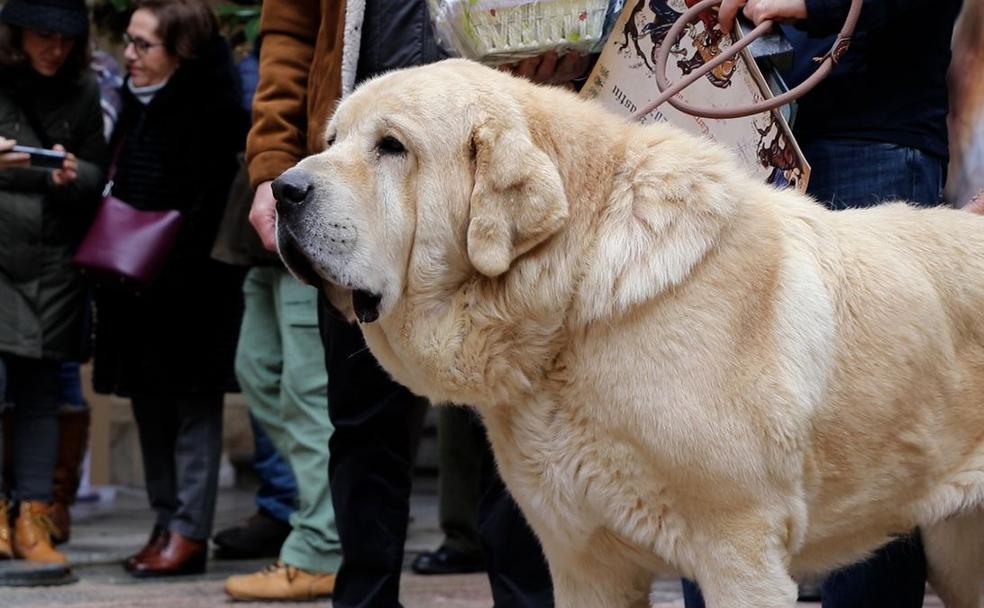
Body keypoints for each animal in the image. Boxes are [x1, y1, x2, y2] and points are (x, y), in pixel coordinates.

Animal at [272, 58, 984, 608]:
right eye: (332, 137)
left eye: (392, 146)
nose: (282, 189)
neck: (574, 296)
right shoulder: (585, 563)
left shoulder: (742, 553)